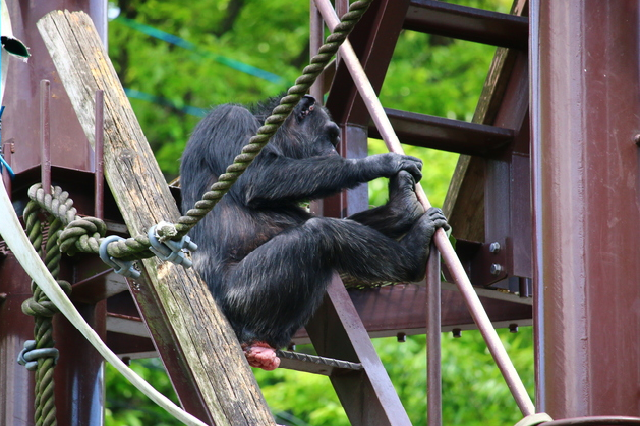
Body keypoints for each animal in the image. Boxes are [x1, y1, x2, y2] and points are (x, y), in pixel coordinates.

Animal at [179, 94, 450, 370]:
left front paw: (401, 206)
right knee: (320, 233)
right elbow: (258, 177)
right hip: (242, 294)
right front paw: (383, 163)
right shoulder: (230, 119)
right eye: (329, 135)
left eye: (335, 139)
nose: (333, 151)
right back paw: (412, 254)